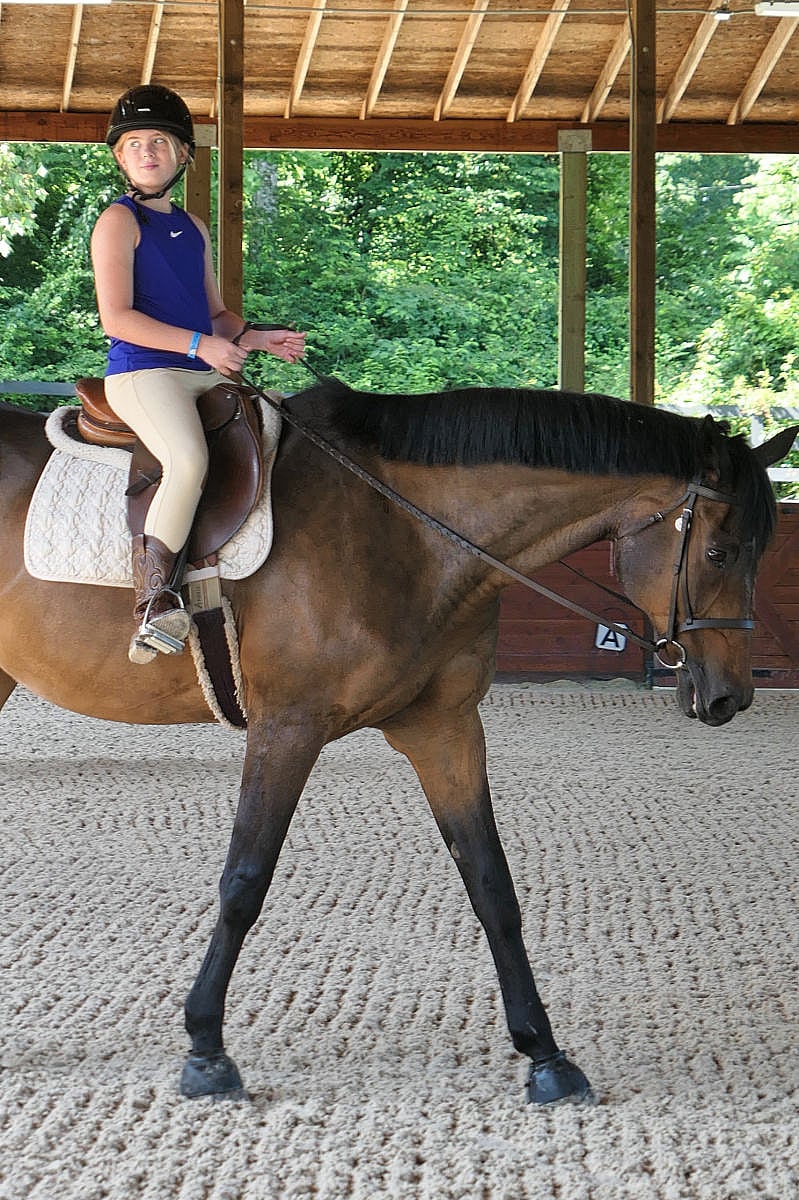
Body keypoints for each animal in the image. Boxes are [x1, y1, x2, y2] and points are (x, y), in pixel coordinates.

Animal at [0, 378, 794, 1107]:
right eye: (720, 552)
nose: (729, 695)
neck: (403, 529)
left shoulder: (444, 727)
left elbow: (491, 885)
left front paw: (546, 1056)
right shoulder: (288, 726)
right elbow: (245, 881)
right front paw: (206, 1050)